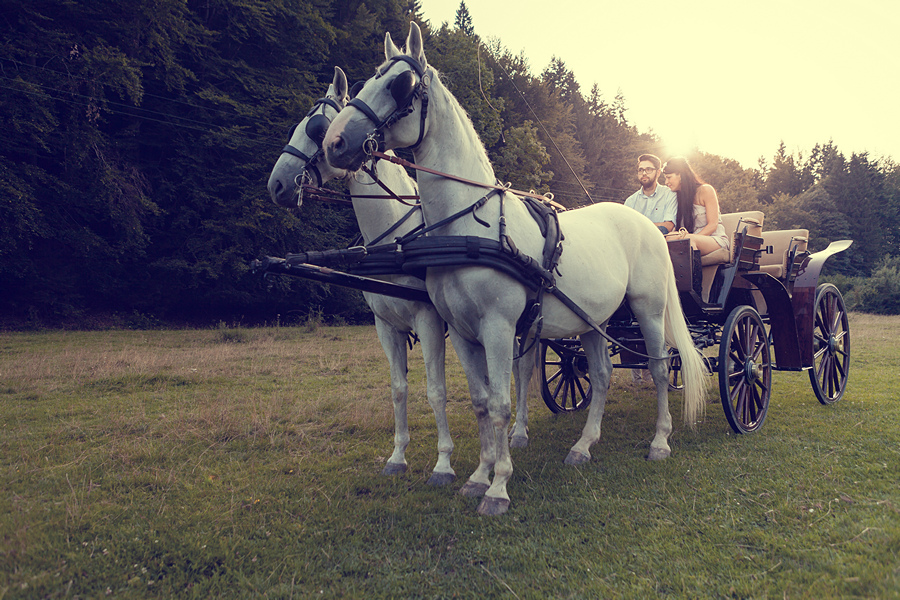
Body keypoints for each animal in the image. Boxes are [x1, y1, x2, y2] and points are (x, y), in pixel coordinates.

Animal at [264, 67, 454, 488]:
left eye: (317, 128)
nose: (277, 184)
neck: (395, 240)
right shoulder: (386, 325)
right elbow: (398, 389)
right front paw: (398, 456)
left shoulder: (429, 320)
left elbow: (436, 391)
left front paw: (443, 464)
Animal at [324, 25, 712, 516]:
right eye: (365, 82)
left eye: (400, 84)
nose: (333, 142)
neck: (466, 225)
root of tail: (650, 227)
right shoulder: (462, 332)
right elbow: (480, 402)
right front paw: (477, 475)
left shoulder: (497, 327)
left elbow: (501, 403)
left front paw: (498, 486)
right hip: (593, 319)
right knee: (603, 375)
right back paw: (583, 446)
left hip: (648, 309)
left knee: (661, 368)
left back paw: (660, 441)